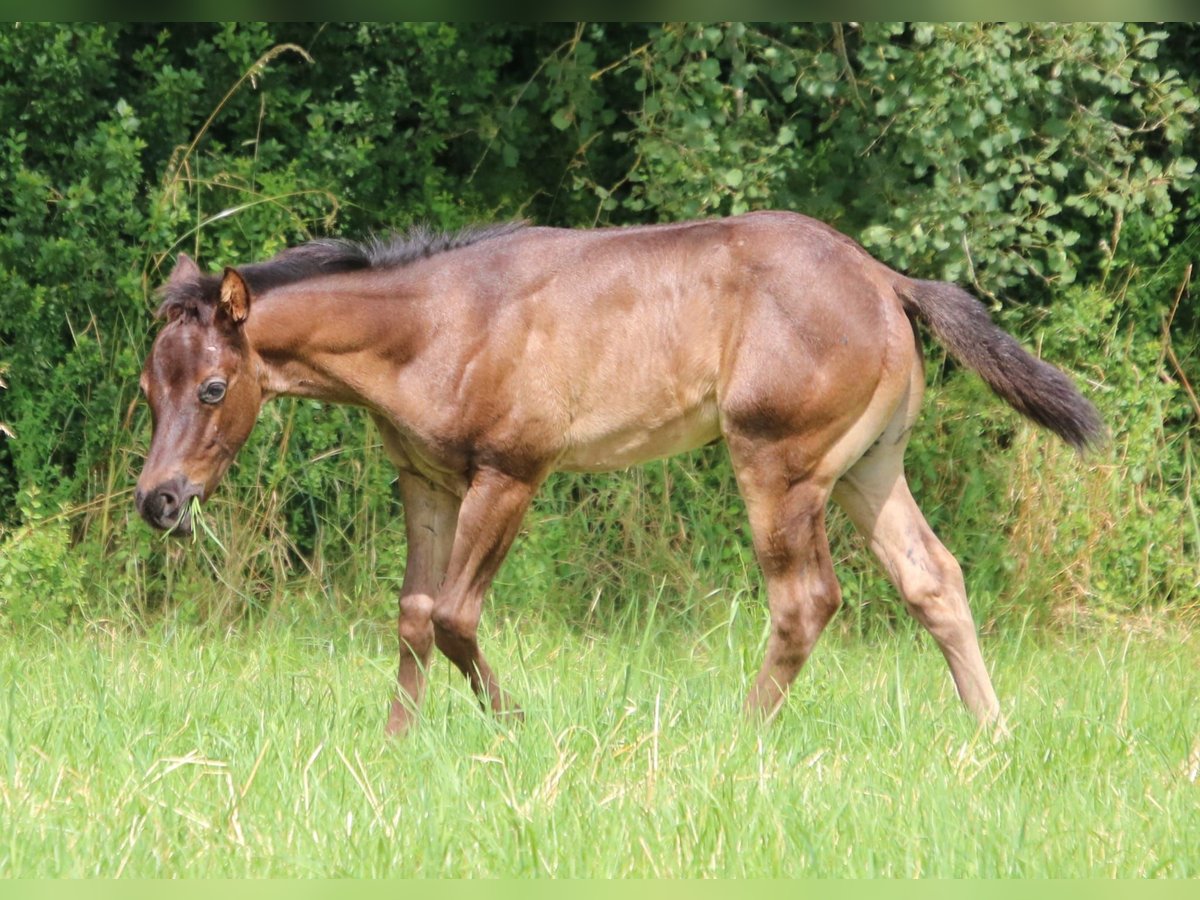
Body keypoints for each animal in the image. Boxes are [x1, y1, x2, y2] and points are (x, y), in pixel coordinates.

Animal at [136, 214, 1099, 734]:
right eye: (150, 387)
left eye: (214, 387)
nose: (159, 501)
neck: (434, 325)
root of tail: (882, 277)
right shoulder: (426, 481)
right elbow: (412, 615)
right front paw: (395, 744)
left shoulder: (511, 472)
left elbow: (453, 617)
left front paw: (518, 731)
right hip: (868, 465)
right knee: (933, 577)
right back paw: (991, 734)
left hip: (778, 463)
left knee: (806, 600)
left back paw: (737, 739)